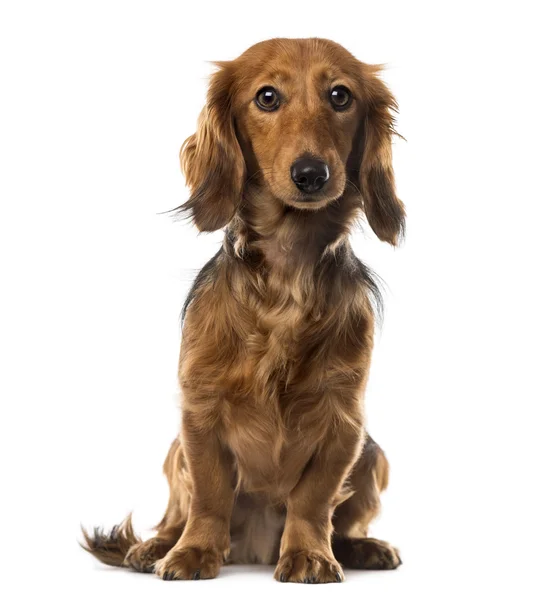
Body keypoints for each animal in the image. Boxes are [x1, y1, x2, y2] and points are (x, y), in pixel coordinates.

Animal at [82, 36, 406, 580]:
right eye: (267, 97)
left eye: (340, 96)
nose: (312, 174)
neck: (286, 278)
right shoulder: (200, 411)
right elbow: (210, 494)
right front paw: (192, 552)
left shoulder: (344, 419)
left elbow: (314, 500)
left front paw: (310, 554)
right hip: (175, 450)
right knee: (175, 514)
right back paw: (155, 547)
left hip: (374, 453)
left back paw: (359, 547)